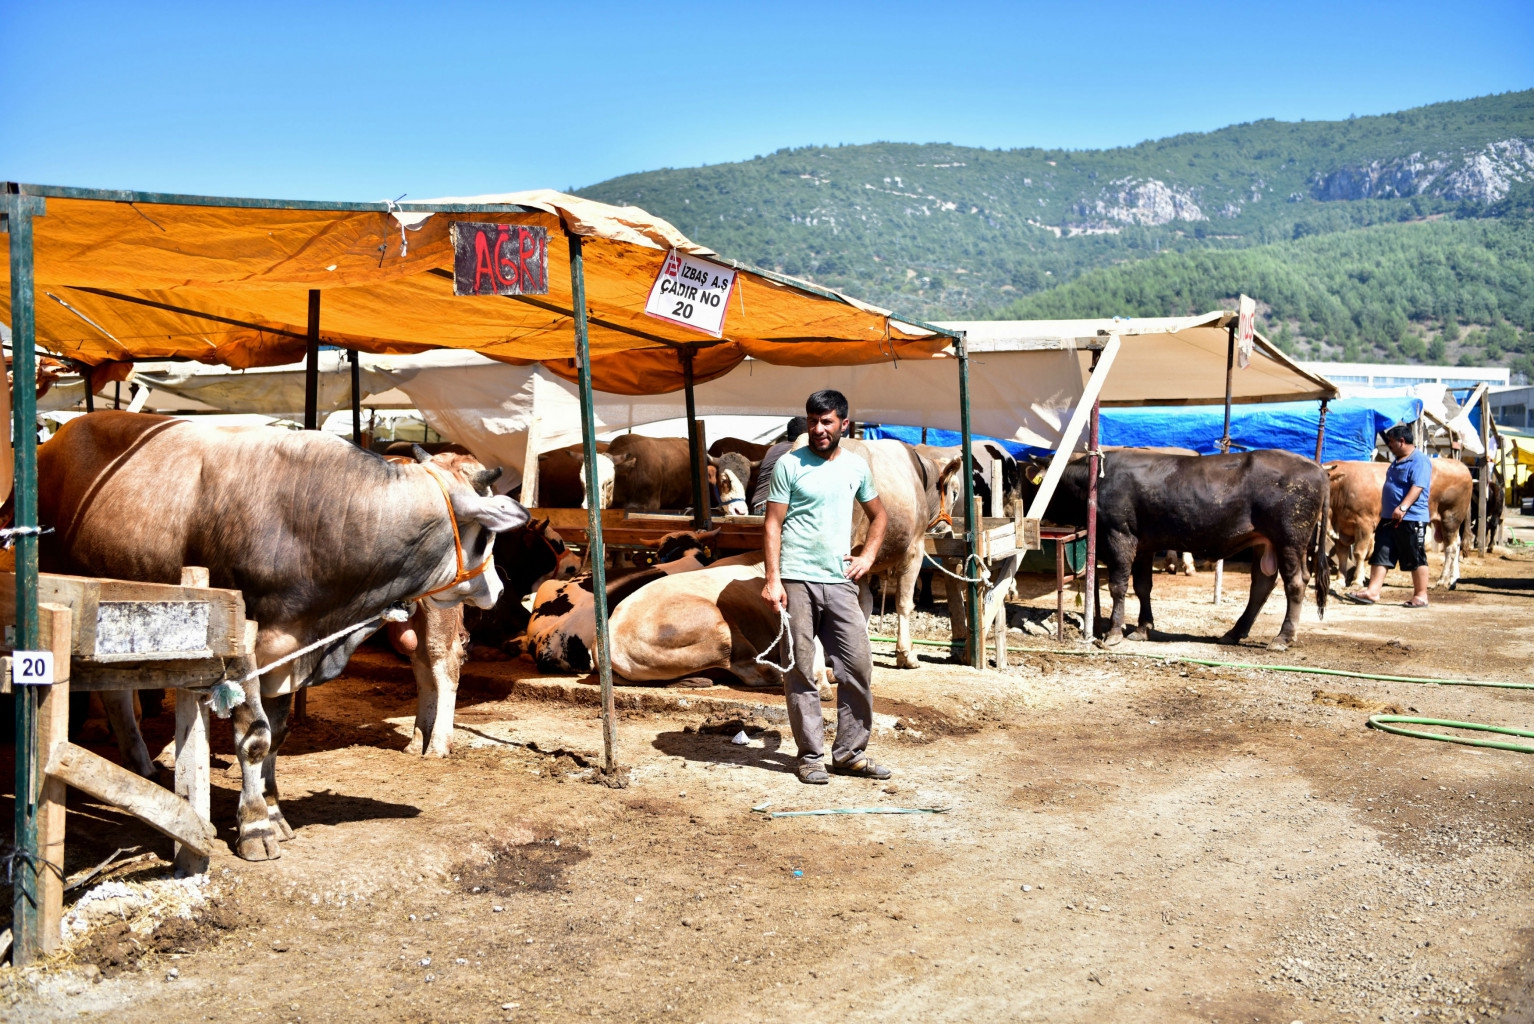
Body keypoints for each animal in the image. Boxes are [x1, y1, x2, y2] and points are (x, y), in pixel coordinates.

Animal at [1319, 459, 1472, 588]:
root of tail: (1460, 464)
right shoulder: (1342, 527)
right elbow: (1342, 553)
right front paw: (1339, 580)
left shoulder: (1364, 524)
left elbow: (1358, 553)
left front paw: (1357, 580)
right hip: (1443, 522)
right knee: (1456, 543)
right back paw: (1453, 579)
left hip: (1450, 518)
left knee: (1451, 548)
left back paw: (1443, 580)